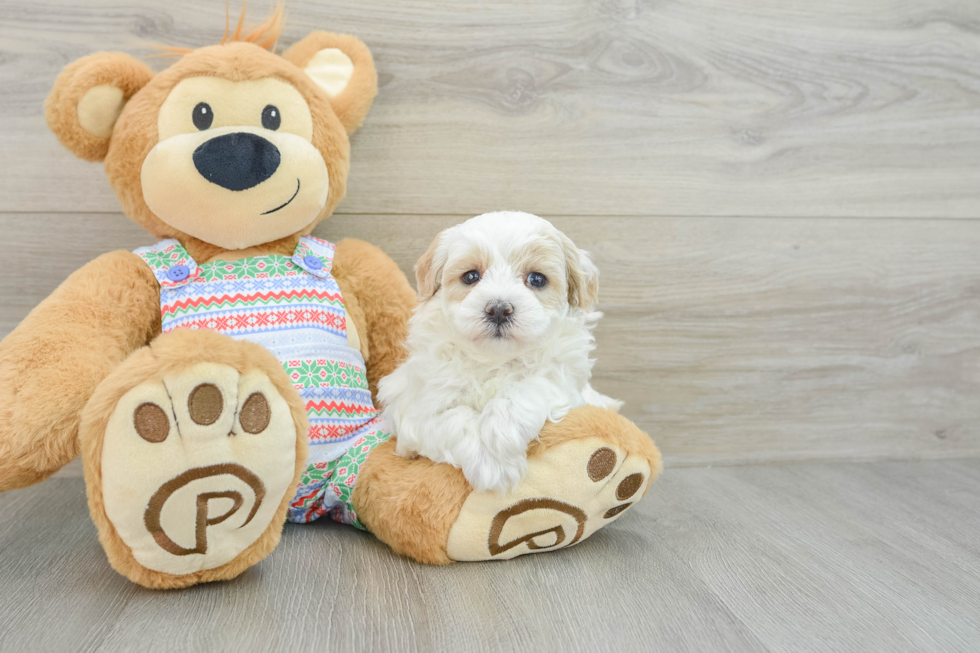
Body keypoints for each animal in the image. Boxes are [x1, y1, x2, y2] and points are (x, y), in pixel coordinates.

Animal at [376, 211, 620, 492]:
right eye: (471, 276)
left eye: (537, 279)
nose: (499, 309)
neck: (494, 359)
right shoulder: (416, 413)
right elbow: (454, 418)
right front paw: (491, 465)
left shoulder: (565, 381)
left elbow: (530, 387)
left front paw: (500, 439)